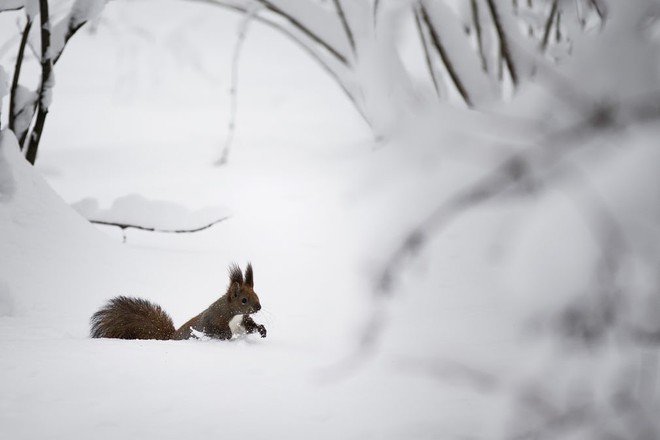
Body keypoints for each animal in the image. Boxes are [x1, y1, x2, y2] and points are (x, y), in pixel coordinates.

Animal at [89, 262, 266, 342]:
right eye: (244, 300)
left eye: (256, 294)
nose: (258, 307)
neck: (233, 314)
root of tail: (171, 338)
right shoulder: (213, 319)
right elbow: (213, 329)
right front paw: (228, 336)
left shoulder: (242, 321)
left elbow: (250, 327)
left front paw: (262, 330)